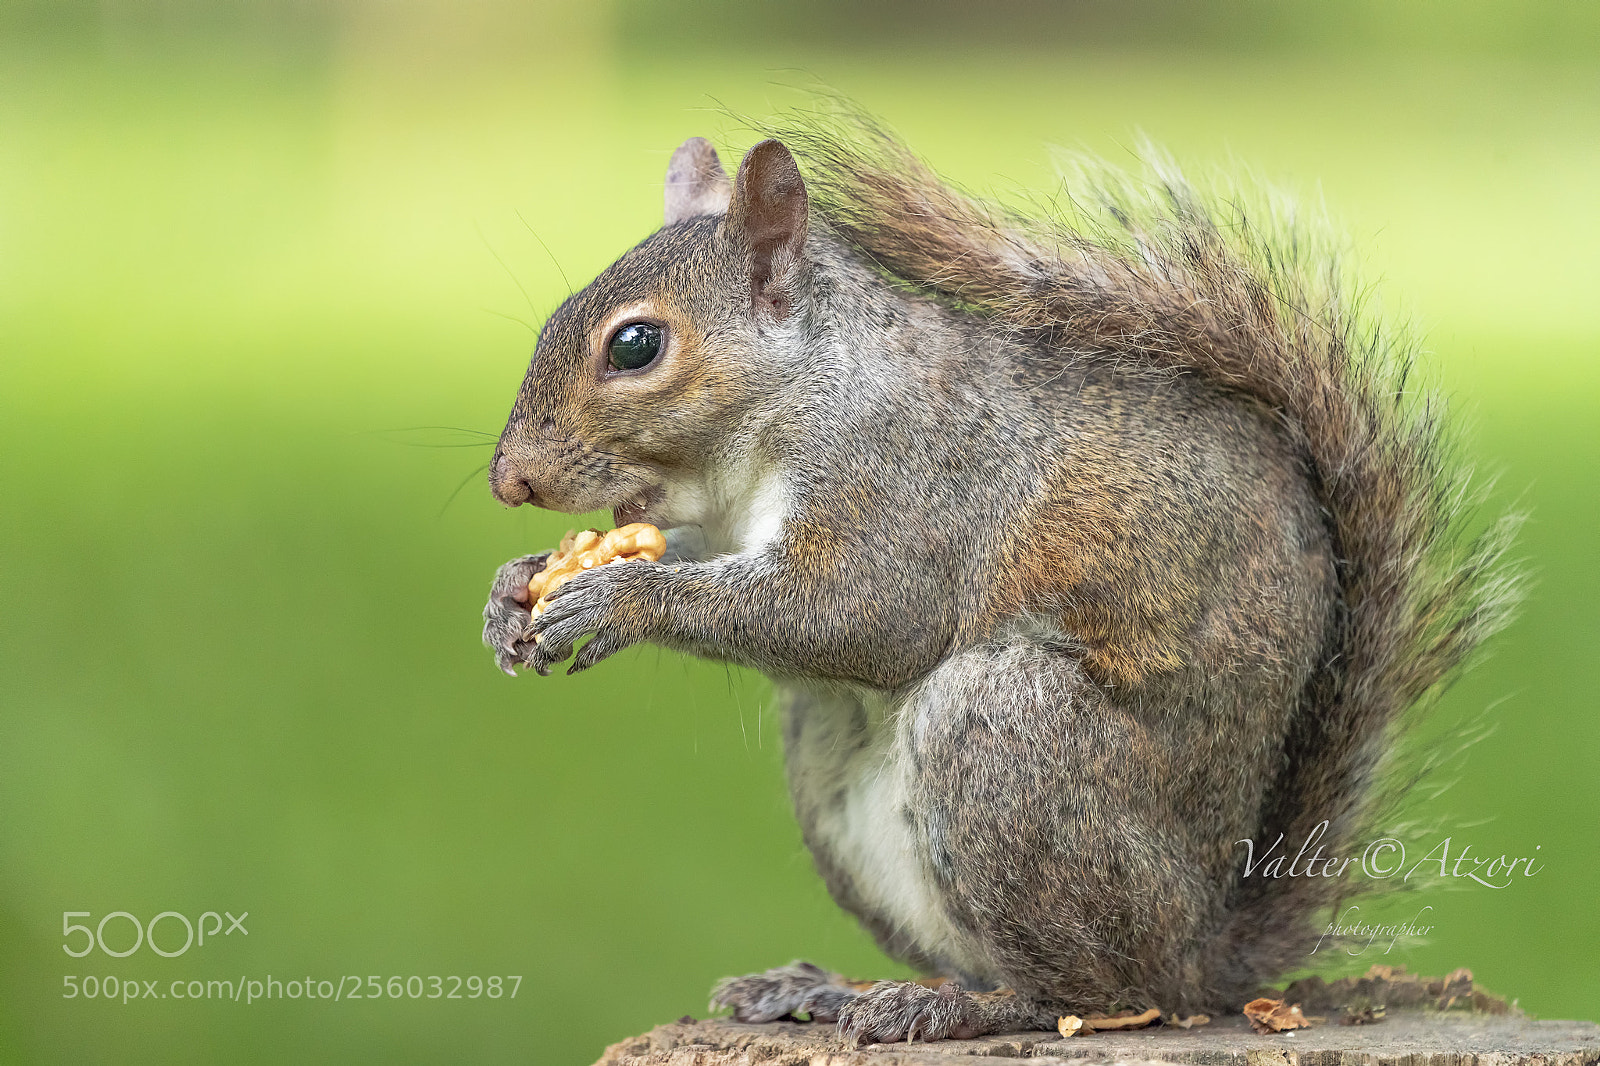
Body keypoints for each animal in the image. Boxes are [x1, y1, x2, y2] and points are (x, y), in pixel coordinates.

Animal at [480, 111, 1518, 1043]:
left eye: (636, 345)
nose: (509, 480)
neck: (801, 393)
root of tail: (1202, 953)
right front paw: (513, 591)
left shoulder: (905, 483)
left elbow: (853, 614)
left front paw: (616, 600)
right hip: (831, 762)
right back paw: (825, 988)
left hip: (1006, 735)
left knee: (1094, 991)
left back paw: (960, 1009)